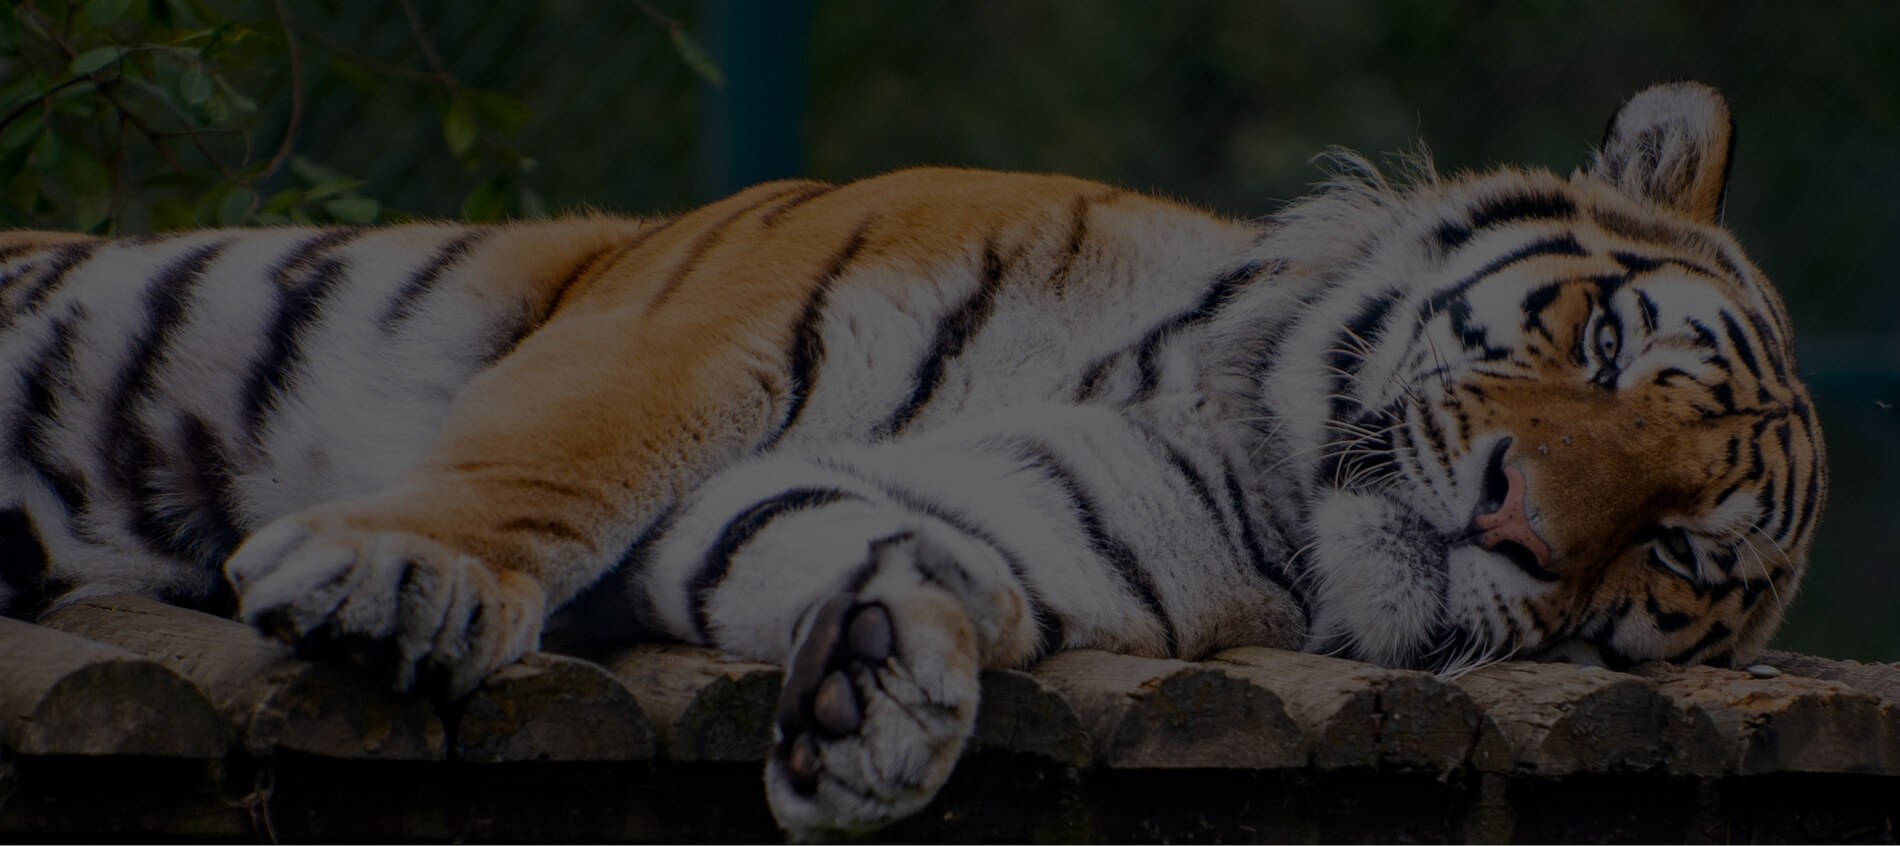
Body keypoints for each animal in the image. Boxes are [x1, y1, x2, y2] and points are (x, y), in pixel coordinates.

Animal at [0, 81, 1823, 836]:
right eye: (1603, 345)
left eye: (1671, 547)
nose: (1519, 524)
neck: (1236, 417)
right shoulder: (695, 326)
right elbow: (556, 459)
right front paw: (405, 573)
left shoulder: (1011, 514)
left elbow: (902, 547)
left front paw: (887, 693)